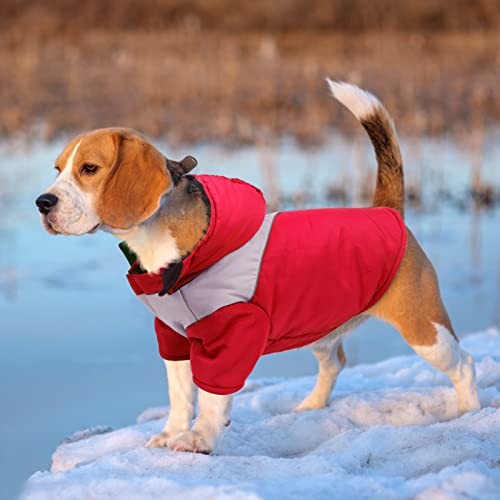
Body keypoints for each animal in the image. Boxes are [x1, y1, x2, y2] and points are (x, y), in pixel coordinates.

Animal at [36, 81, 480, 454]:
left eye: (89, 169)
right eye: (57, 170)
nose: (42, 203)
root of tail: (385, 210)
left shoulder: (232, 333)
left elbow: (212, 394)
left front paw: (200, 437)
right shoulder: (173, 337)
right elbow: (180, 394)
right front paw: (172, 431)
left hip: (423, 329)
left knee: (465, 365)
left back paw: (470, 411)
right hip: (322, 327)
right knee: (336, 363)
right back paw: (312, 406)